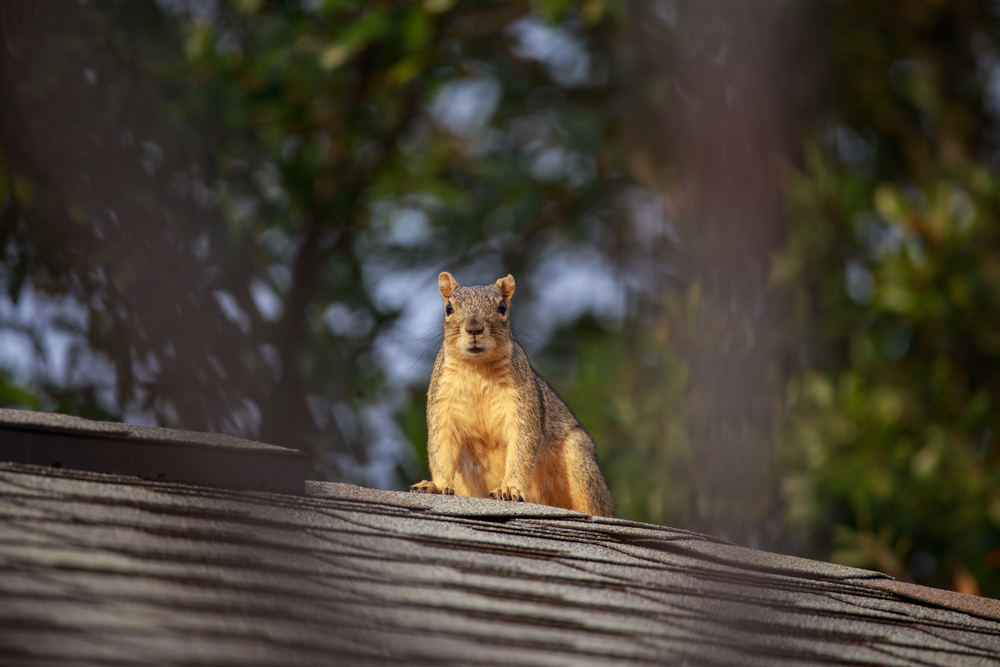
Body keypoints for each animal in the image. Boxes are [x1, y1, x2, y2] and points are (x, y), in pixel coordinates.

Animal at [409, 272, 614, 517]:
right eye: (448, 308)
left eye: (502, 307)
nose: (474, 328)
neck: (477, 369)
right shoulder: (442, 405)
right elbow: (441, 446)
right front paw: (437, 486)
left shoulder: (523, 404)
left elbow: (522, 445)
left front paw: (509, 488)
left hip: (579, 462)